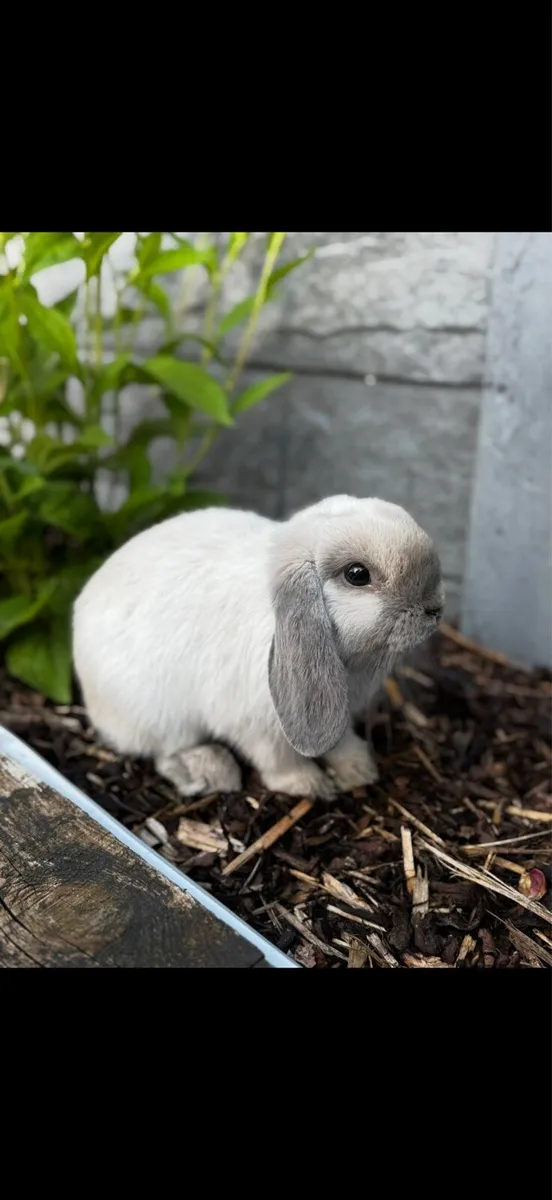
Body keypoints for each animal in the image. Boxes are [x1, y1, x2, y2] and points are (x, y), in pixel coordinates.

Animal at [73, 495, 444, 801]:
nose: (435, 610)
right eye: (357, 574)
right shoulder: (257, 726)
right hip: (161, 715)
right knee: (165, 753)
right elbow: (277, 760)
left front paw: (359, 769)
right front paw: (309, 785)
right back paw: (214, 770)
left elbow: (340, 742)